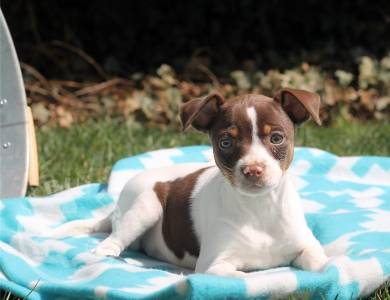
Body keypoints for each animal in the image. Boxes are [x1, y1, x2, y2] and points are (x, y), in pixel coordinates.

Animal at [55, 88, 330, 276]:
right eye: (225, 142)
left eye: (276, 138)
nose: (252, 170)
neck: (259, 208)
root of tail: (115, 212)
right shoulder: (214, 265)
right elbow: (244, 276)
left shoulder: (308, 246)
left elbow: (321, 264)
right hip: (145, 206)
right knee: (111, 242)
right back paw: (108, 258)